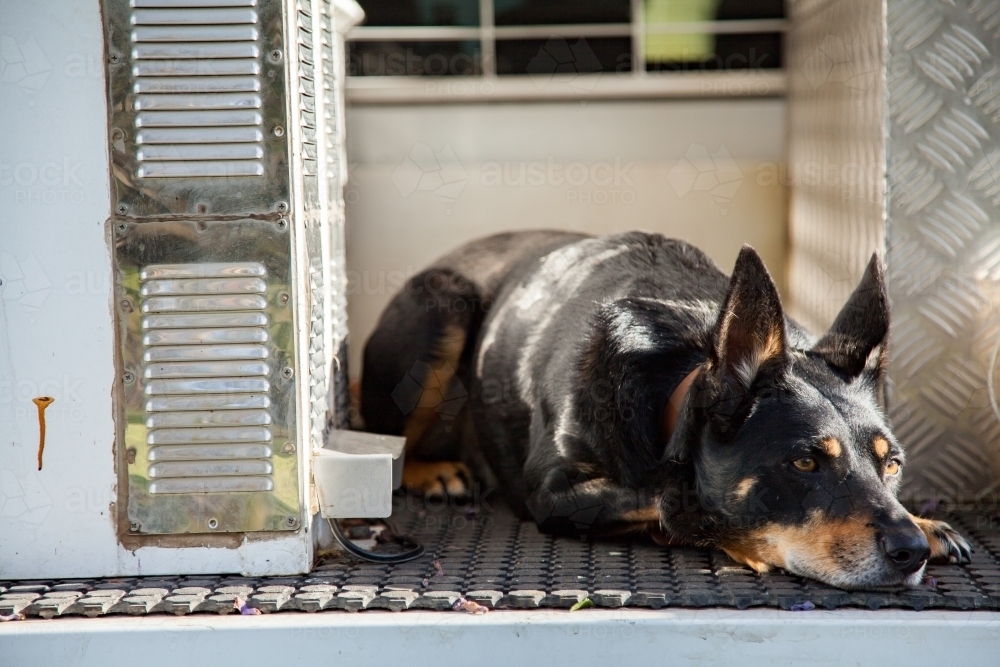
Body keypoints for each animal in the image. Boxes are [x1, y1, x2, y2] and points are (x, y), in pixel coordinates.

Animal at [364, 231, 972, 588]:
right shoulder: (553, 493)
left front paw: (923, 521)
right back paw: (434, 471)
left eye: (892, 465)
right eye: (804, 463)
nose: (909, 551)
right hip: (441, 311)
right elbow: (668, 498)